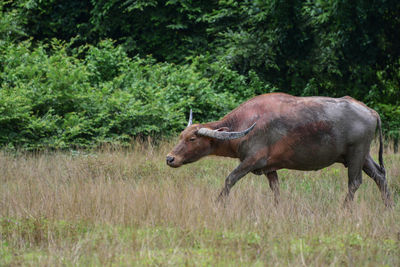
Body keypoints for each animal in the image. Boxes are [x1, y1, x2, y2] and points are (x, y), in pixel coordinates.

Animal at [166, 93, 390, 208]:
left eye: (192, 139)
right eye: (181, 135)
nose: (170, 158)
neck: (244, 124)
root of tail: (371, 111)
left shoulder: (251, 161)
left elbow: (230, 179)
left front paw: (218, 203)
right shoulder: (269, 168)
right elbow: (276, 189)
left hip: (356, 154)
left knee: (355, 182)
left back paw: (344, 208)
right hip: (363, 156)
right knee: (380, 176)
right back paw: (388, 206)